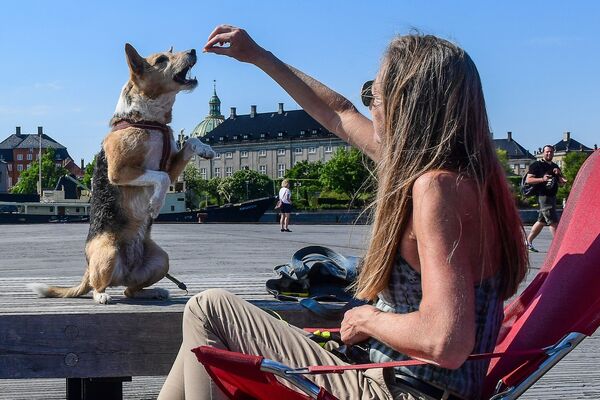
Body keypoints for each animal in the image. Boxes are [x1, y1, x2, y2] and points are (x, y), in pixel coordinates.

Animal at [29, 43, 216, 304]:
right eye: (161, 60)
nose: (192, 50)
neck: (147, 120)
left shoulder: (169, 166)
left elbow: (190, 142)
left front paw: (205, 148)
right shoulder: (119, 172)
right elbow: (160, 178)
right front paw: (155, 205)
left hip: (162, 260)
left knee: (130, 290)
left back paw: (155, 291)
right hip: (108, 252)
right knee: (98, 285)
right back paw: (102, 296)